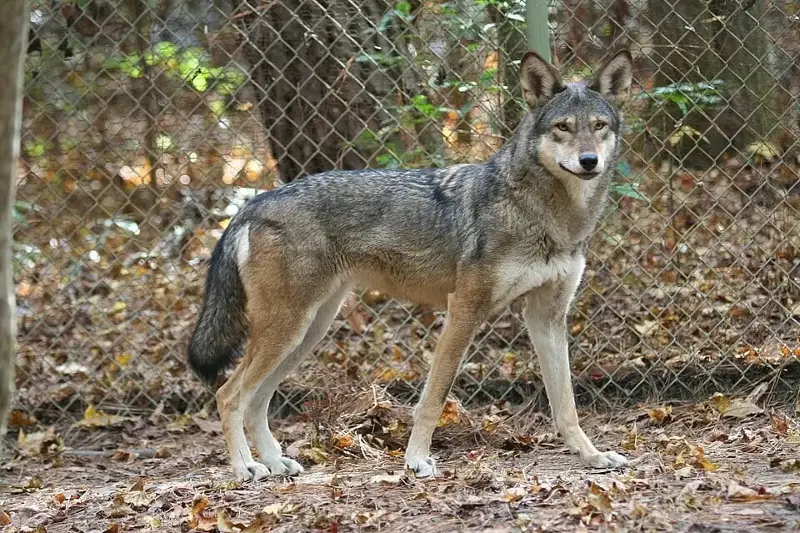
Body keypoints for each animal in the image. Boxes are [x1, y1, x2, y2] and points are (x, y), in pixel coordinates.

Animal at [188, 50, 633, 482]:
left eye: (598, 126)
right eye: (562, 127)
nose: (589, 160)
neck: (547, 214)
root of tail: (254, 202)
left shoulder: (546, 317)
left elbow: (566, 405)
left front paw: (592, 456)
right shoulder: (464, 309)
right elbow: (433, 398)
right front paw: (417, 460)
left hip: (306, 332)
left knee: (257, 399)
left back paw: (275, 463)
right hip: (288, 330)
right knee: (228, 394)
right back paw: (246, 468)